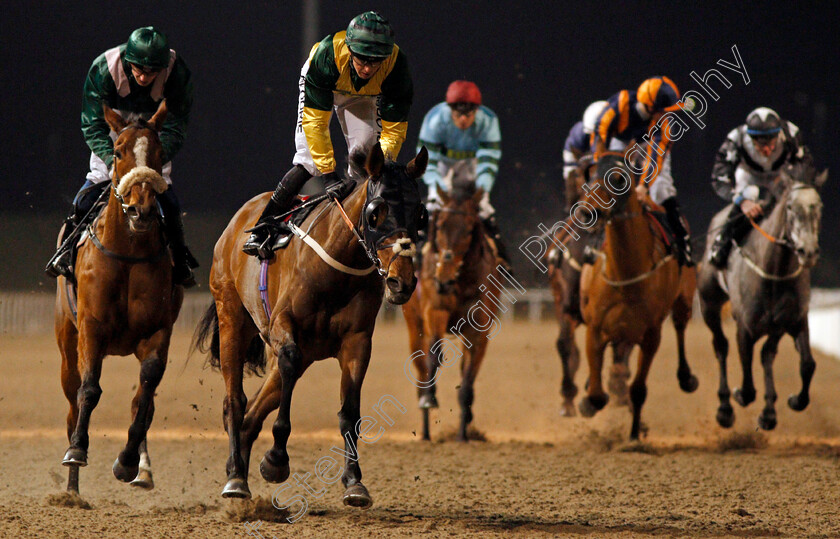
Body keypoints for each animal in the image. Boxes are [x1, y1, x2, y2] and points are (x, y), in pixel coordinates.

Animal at [56, 100, 182, 494]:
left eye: (159, 153)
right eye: (118, 150)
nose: (141, 209)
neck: (127, 253)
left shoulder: (157, 331)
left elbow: (145, 393)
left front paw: (127, 462)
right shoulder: (91, 328)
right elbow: (89, 390)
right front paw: (77, 450)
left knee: (143, 399)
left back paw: (142, 469)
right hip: (66, 341)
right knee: (72, 400)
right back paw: (72, 487)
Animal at [192, 142, 426, 506]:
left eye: (419, 213)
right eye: (376, 213)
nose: (402, 281)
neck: (335, 268)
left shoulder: (357, 342)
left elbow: (349, 411)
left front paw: (354, 481)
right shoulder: (282, 327)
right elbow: (287, 366)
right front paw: (276, 459)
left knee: (253, 414)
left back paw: (240, 471)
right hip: (232, 318)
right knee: (235, 402)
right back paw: (235, 479)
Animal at [400, 181, 498, 442]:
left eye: (470, 229)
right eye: (441, 225)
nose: (443, 279)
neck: (459, 281)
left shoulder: (479, 329)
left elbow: (467, 379)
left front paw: (463, 434)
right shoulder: (435, 310)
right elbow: (433, 355)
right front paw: (429, 399)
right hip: (414, 325)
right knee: (421, 365)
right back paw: (425, 430)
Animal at [576, 154, 696, 440]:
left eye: (619, 179)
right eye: (591, 175)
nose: (587, 211)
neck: (625, 274)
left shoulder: (651, 334)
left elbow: (638, 389)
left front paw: (632, 436)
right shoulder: (595, 327)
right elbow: (597, 393)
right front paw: (588, 400)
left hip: (683, 301)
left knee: (680, 327)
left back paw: (686, 377)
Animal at [696, 160, 828, 430]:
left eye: (818, 206)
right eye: (790, 207)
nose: (808, 251)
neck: (773, 272)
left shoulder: (793, 320)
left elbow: (807, 364)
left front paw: (793, 401)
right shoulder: (744, 327)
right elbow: (746, 382)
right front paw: (737, 397)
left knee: (767, 355)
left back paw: (768, 412)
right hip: (709, 304)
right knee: (721, 346)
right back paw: (725, 408)